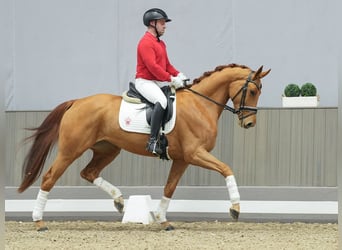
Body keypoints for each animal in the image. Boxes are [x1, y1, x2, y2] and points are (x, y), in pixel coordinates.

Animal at [18, 63, 270, 231]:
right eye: (252, 91)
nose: (249, 123)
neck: (200, 104)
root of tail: (76, 102)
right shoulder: (195, 153)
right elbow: (227, 169)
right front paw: (235, 208)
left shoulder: (183, 159)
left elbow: (170, 187)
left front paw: (161, 218)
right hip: (71, 150)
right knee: (49, 178)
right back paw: (39, 221)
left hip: (108, 149)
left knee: (88, 172)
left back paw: (119, 200)